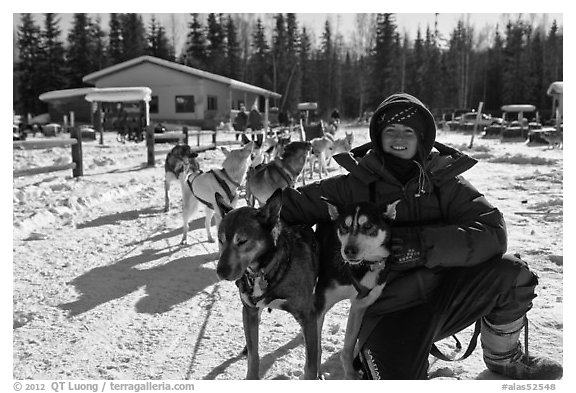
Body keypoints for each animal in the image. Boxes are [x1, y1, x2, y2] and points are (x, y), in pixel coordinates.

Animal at [215, 188, 320, 378]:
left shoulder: (307, 315)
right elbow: (253, 354)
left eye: (242, 241)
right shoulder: (249, 311)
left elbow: (311, 364)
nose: (221, 272)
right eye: (220, 240)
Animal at [316, 199, 400, 376]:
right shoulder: (320, 304)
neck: (362, 267)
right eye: (344, 227)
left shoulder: (360, 304)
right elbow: (314, 349)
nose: (349, 251)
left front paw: (350, 375)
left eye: (367, 226)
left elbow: (347, 349)